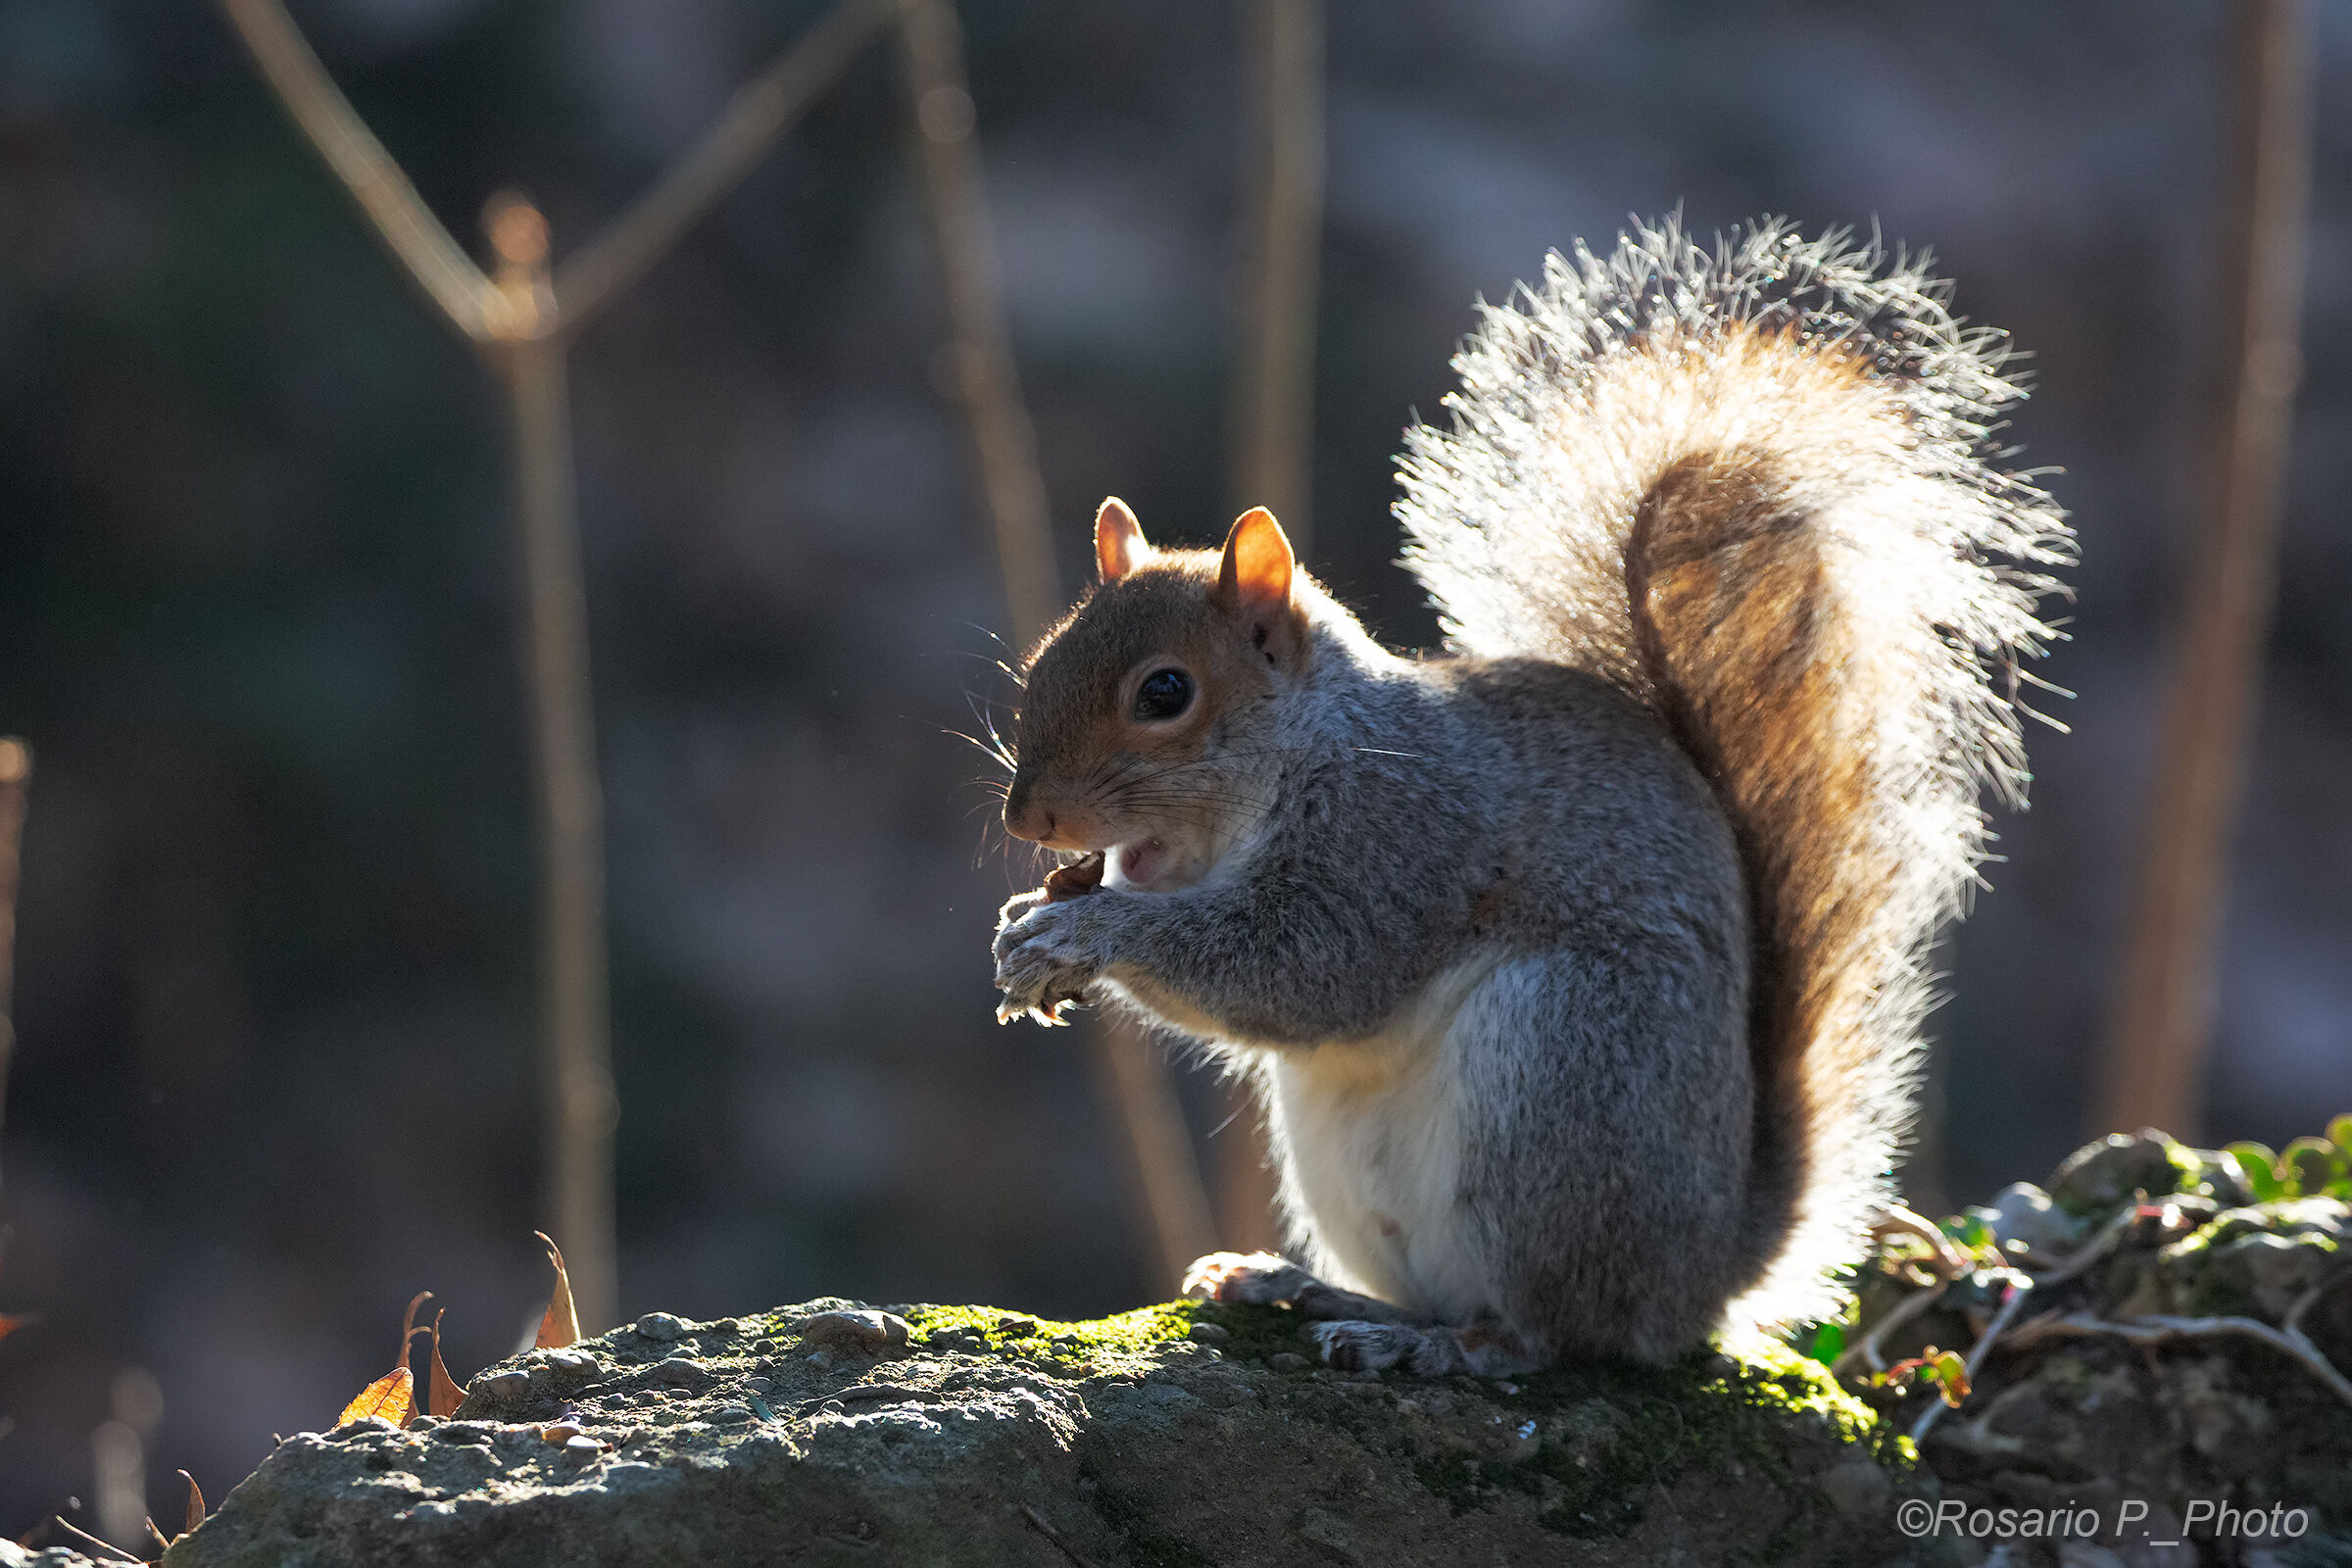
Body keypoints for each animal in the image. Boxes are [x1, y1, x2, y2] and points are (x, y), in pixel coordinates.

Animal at [988, 219, 2073, 1374]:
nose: (1027, 821)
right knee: (1436, 1291)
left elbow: (1304, 968)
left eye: (1165, 692)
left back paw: (1452, 1348)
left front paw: (1088, 931)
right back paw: (1308, 1290)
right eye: (1044, 657)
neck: (1288, 766)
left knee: (1553, 1334)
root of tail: (1703, 1278)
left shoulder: (1400, 831)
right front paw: (1026, 926)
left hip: (1560, 1072)